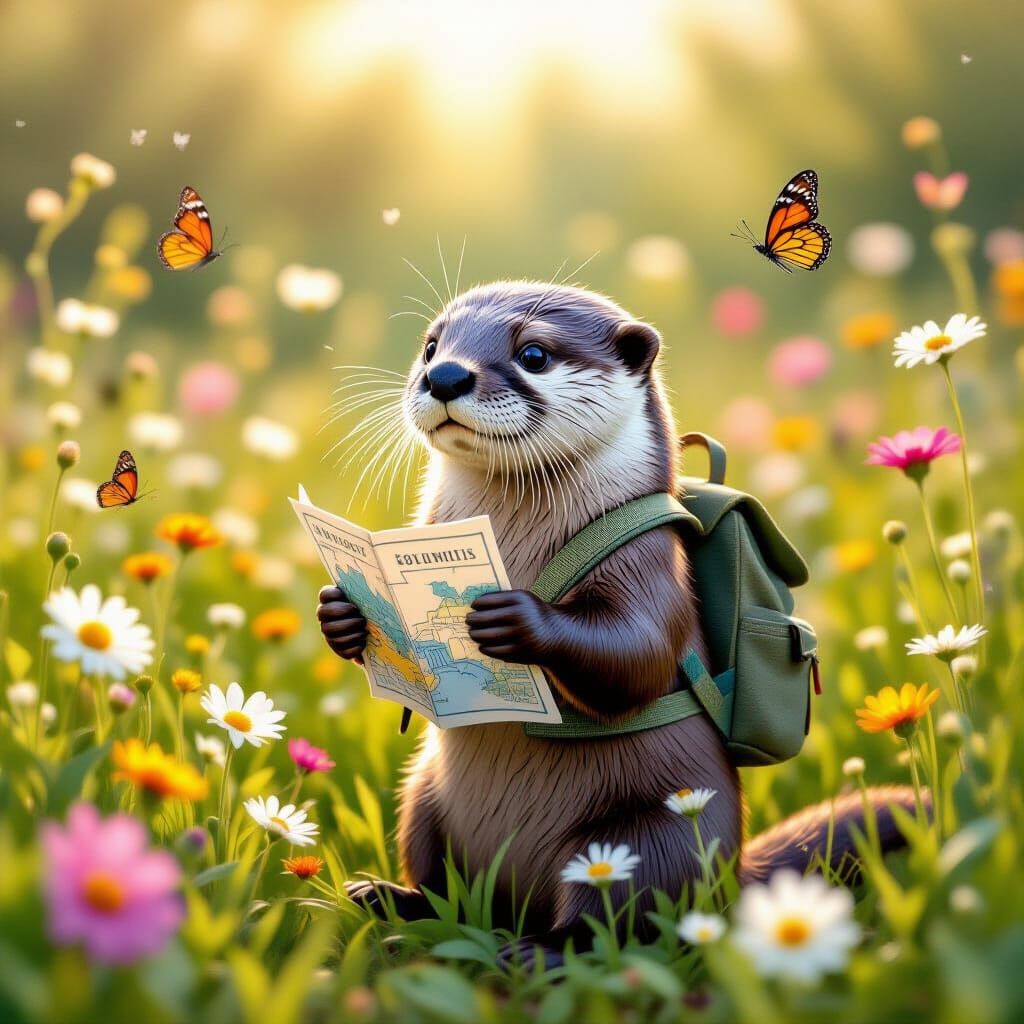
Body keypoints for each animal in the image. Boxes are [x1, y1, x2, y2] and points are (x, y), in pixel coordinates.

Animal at [317, 281, 916, 963]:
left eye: (534, 353)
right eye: (431, 345)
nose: (444, 375)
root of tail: (735, 873)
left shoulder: (648, 563)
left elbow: (637, 656)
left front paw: (516, 618)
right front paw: (342, 612)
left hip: (651, 833)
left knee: (620, 916)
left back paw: (539, 950)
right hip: (422, 796)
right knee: (450, 890)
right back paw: (386, 898)